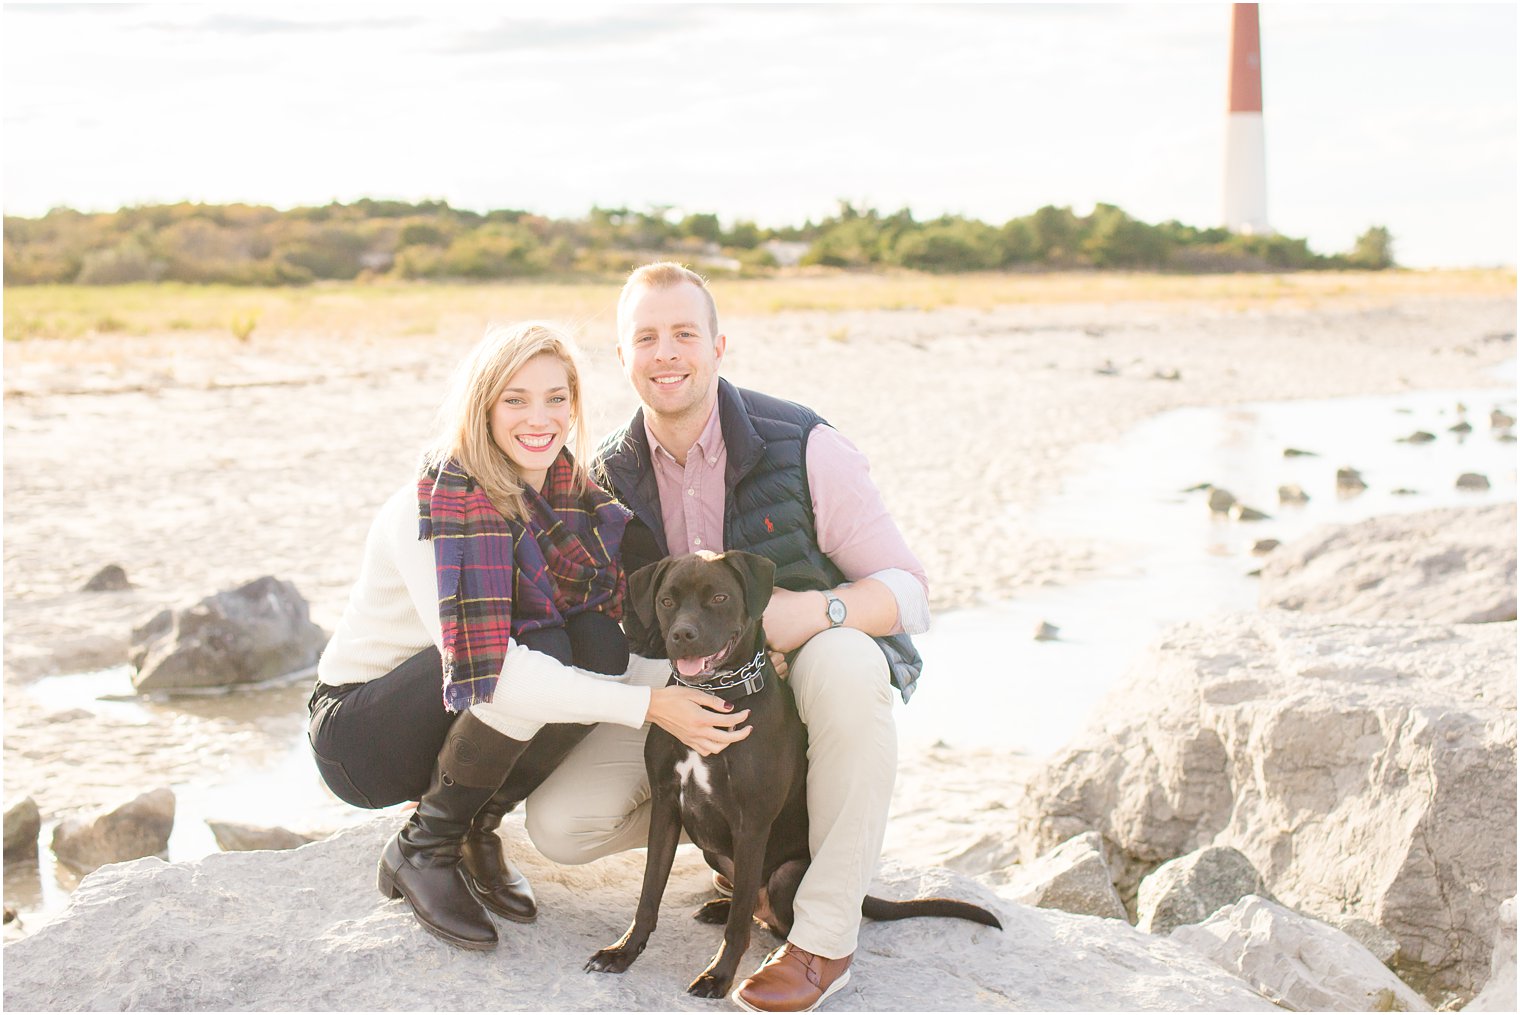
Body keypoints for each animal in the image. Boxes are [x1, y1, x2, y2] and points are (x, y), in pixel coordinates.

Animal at [580, 550, 997, 996]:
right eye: (667, 601)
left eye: (719, 598)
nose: (682, 635)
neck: (714, 697)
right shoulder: (666, 808)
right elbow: (648, 896)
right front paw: (622, 953)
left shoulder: (751, 823)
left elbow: (739, 924)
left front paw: (719, 975)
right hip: (714, 851)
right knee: (748, 905)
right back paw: (718, 906)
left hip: (785, 874)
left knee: (771, 915)